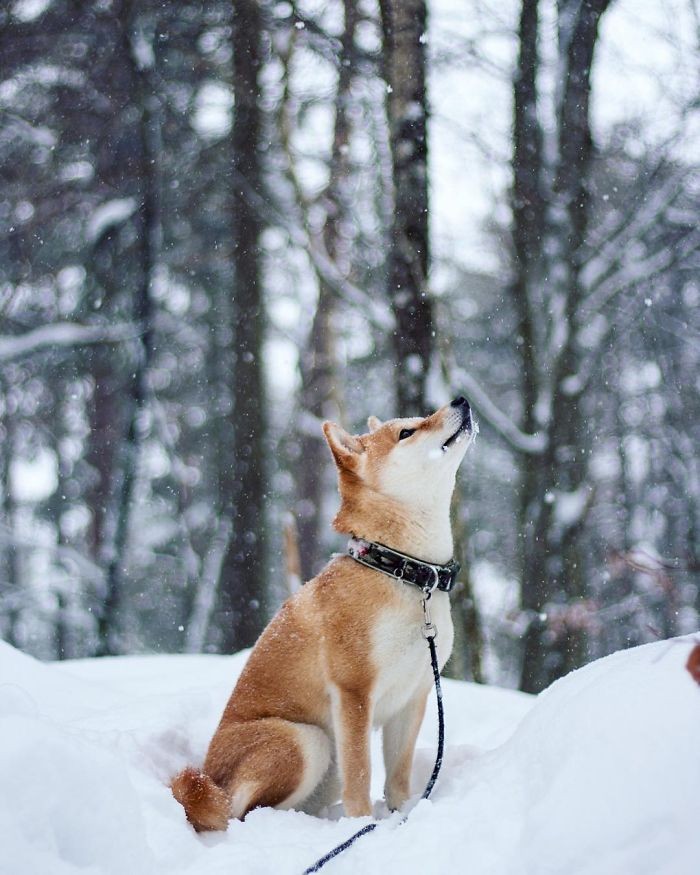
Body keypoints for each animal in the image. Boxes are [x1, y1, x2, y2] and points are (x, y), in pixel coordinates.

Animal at [172, 396, 474, 828]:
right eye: (407, 431)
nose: (459, 400)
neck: (404, 572)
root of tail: (211, 776)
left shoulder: (413, 695)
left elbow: (397, 777)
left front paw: (402, 815)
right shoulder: (353, 692)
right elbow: (361, 774)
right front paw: (363, 825)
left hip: (323, 765)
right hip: (306, 740)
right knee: (238, 812)